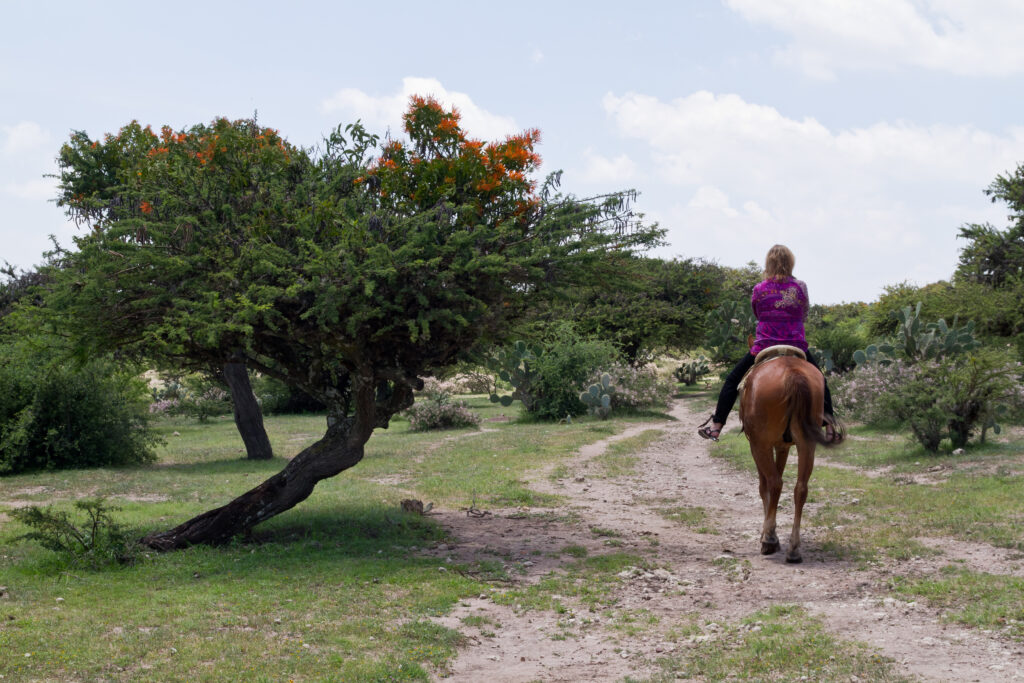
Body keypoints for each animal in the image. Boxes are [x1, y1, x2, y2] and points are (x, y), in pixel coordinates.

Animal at [738, 350, 844, 563]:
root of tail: (793, 374)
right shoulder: (782, 447)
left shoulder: (758, 445)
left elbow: (763, 487)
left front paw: (768, 535)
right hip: (807, 444)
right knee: (801, 488)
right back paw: (794, 549)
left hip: (761, 444)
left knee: (774, 483)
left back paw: (769, 540)